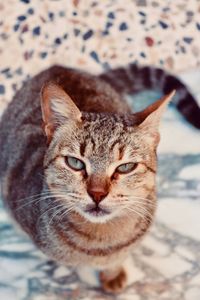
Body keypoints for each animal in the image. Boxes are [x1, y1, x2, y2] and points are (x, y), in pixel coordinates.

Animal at [0, 64, 198, 292]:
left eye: (126, 167)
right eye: (75, 162)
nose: (97, 193)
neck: (101, 242)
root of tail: (59, 67)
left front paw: (112, 272)